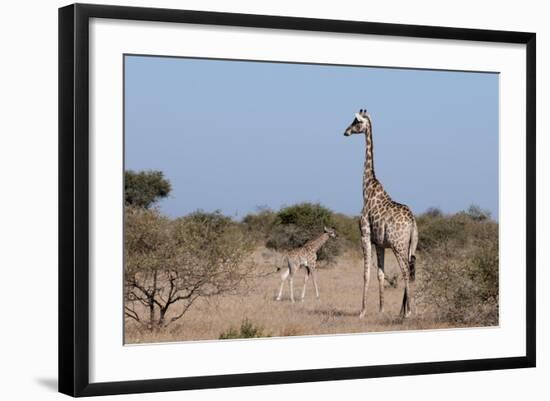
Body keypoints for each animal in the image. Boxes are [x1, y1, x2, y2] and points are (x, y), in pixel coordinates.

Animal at [342, 109, 420, 318]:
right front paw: (381, 309)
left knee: (405, 272)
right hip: (411, 246)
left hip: (399, 245)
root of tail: (413, 223)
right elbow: (380, 273)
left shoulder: (365, 235)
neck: (367, 188)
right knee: (411, 271)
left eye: (356, 122)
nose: (345, 132)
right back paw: (402, 311)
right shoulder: (380, 243)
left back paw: (409, 313)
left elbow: (366, 273)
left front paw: (362, 311)